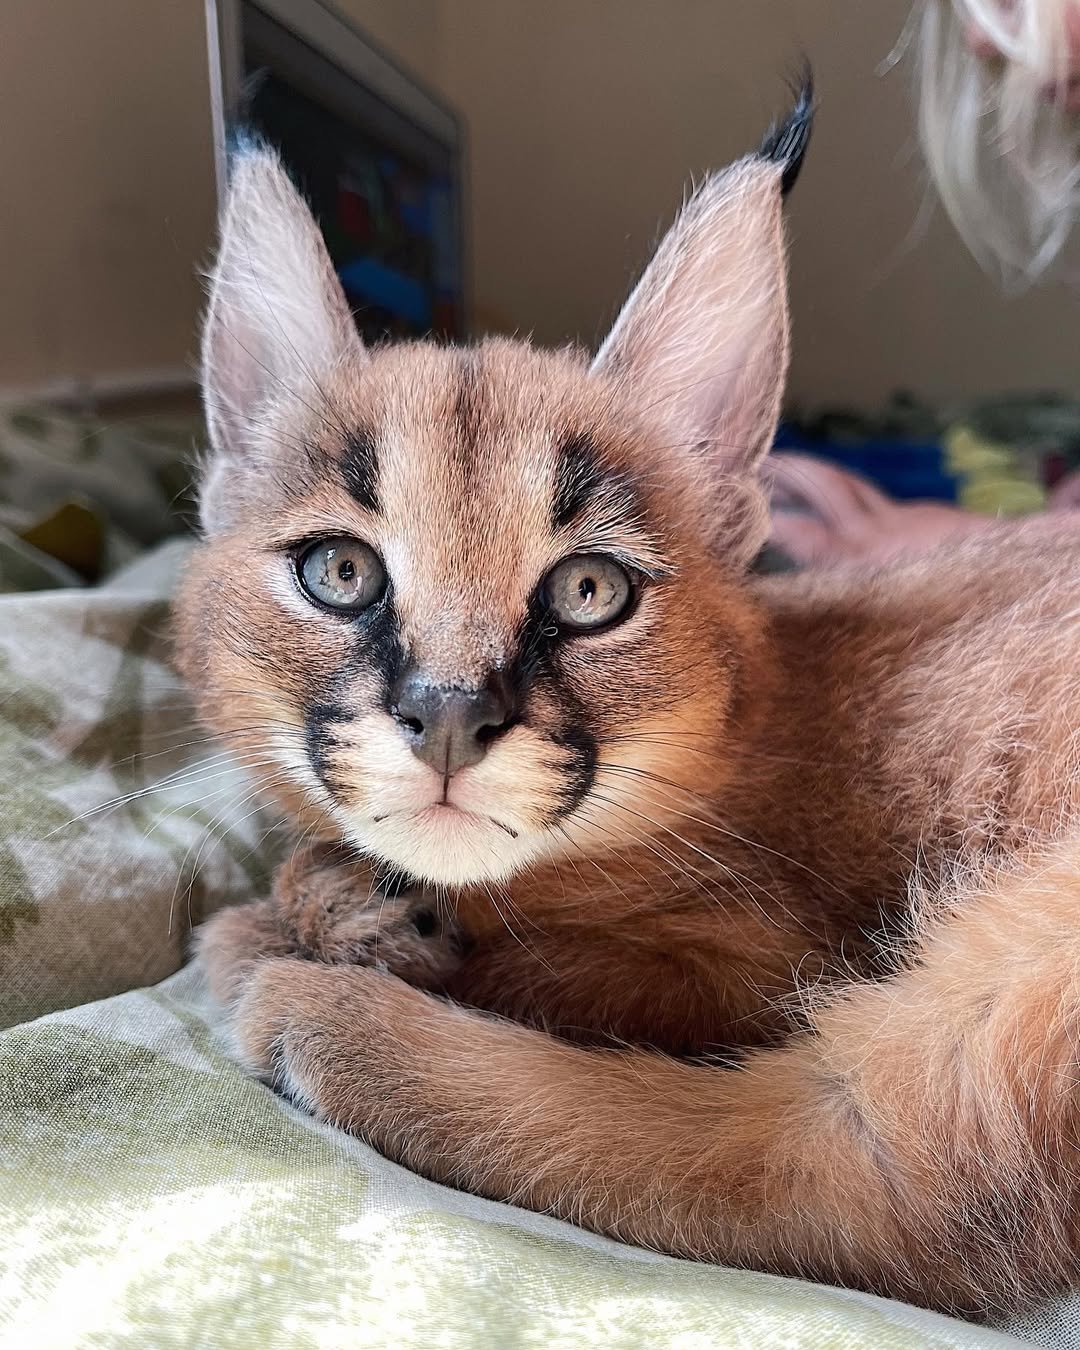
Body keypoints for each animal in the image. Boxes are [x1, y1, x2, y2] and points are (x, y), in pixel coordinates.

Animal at [181, 86, 1080, 1319]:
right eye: (341, 572)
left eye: (589, 592)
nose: (450, 717)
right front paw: (345, 902)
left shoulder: (754, 959)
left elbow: (558, 964)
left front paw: (316, 919)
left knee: (852, 1175)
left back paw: (312, 1011)